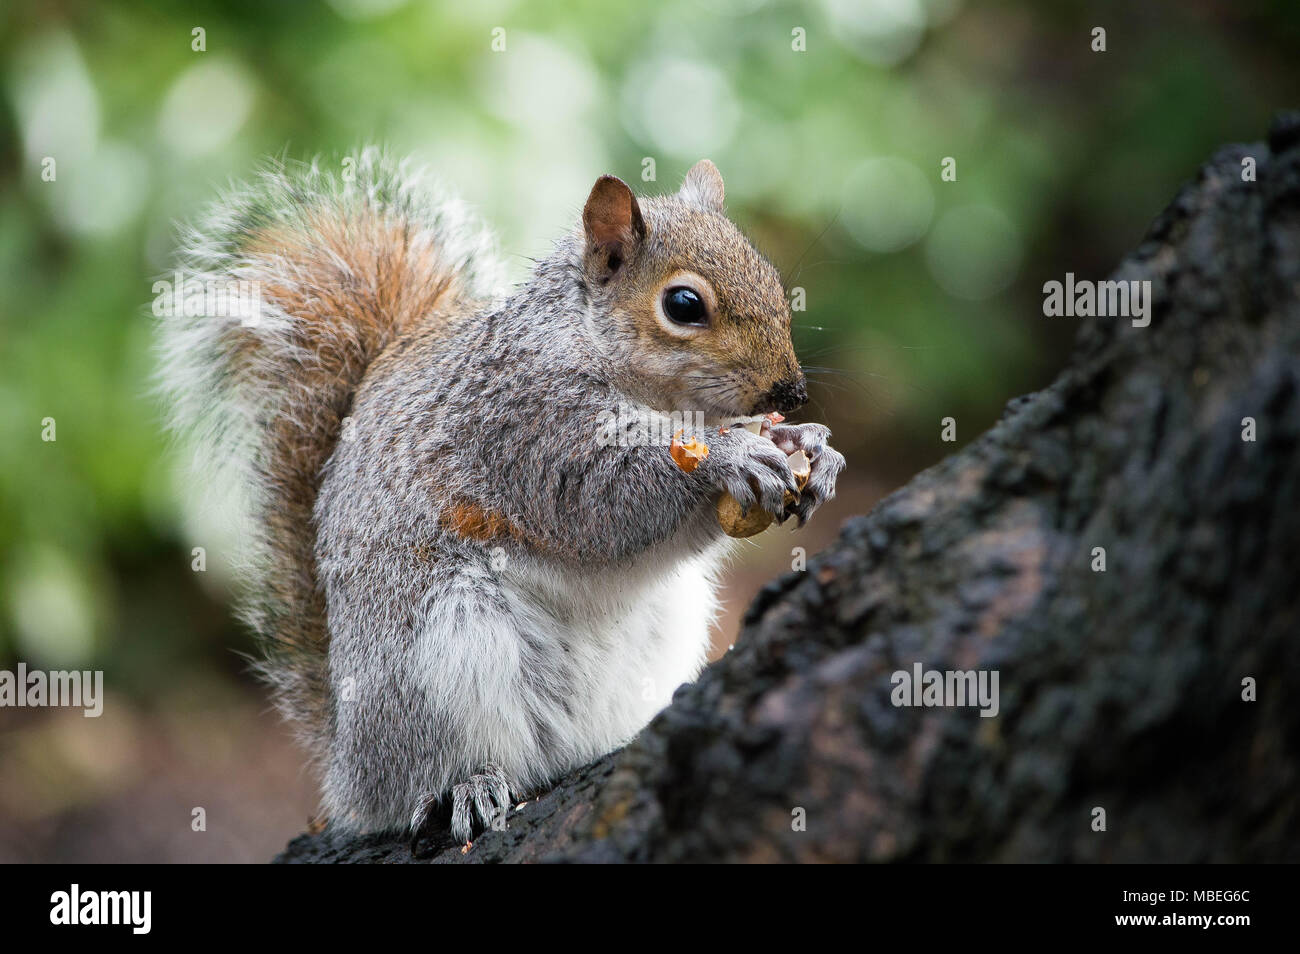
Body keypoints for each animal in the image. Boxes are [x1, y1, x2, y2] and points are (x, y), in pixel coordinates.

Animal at [157, 149, 847, 852]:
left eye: (770, 275)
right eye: (683, 304)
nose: (790, 391)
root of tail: (349, 770)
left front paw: (808, 446)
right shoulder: (523, 423)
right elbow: (601, 499)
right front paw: (730, 457)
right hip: (442, 654)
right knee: (430, 771)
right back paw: (467, 785)